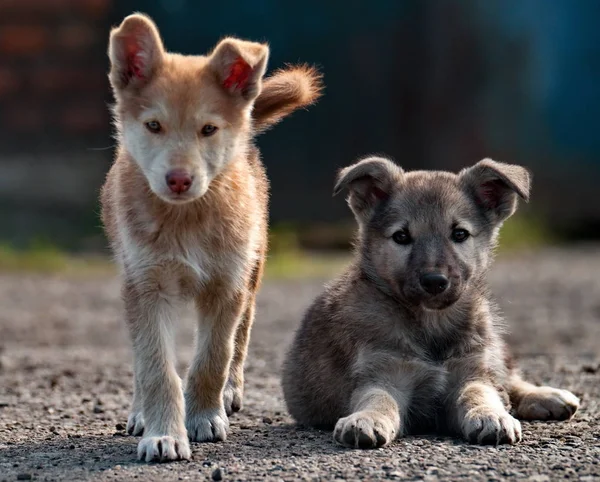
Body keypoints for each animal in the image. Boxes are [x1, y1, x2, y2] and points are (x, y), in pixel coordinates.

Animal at [101, 13, 322, 462]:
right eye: (153, 126)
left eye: (208, 129)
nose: (179, 179)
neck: (185, 219)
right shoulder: (145, 286)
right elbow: (155, 366)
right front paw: (163, 434)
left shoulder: (227, 285)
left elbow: (213, 357)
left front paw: (203, 416)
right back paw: (139, 412)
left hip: (253, 269)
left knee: (242, 334)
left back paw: (230, 392)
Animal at [284, 157, 580, 448]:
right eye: (401, 236)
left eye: (459, 234)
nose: (435, 281)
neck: (431, 323)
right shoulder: (384, 375)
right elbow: (379, 398)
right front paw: (366, 419)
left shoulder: (471, 370)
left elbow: (480, 393)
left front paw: (490, 415)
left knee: (507, 378)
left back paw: (547, 396)